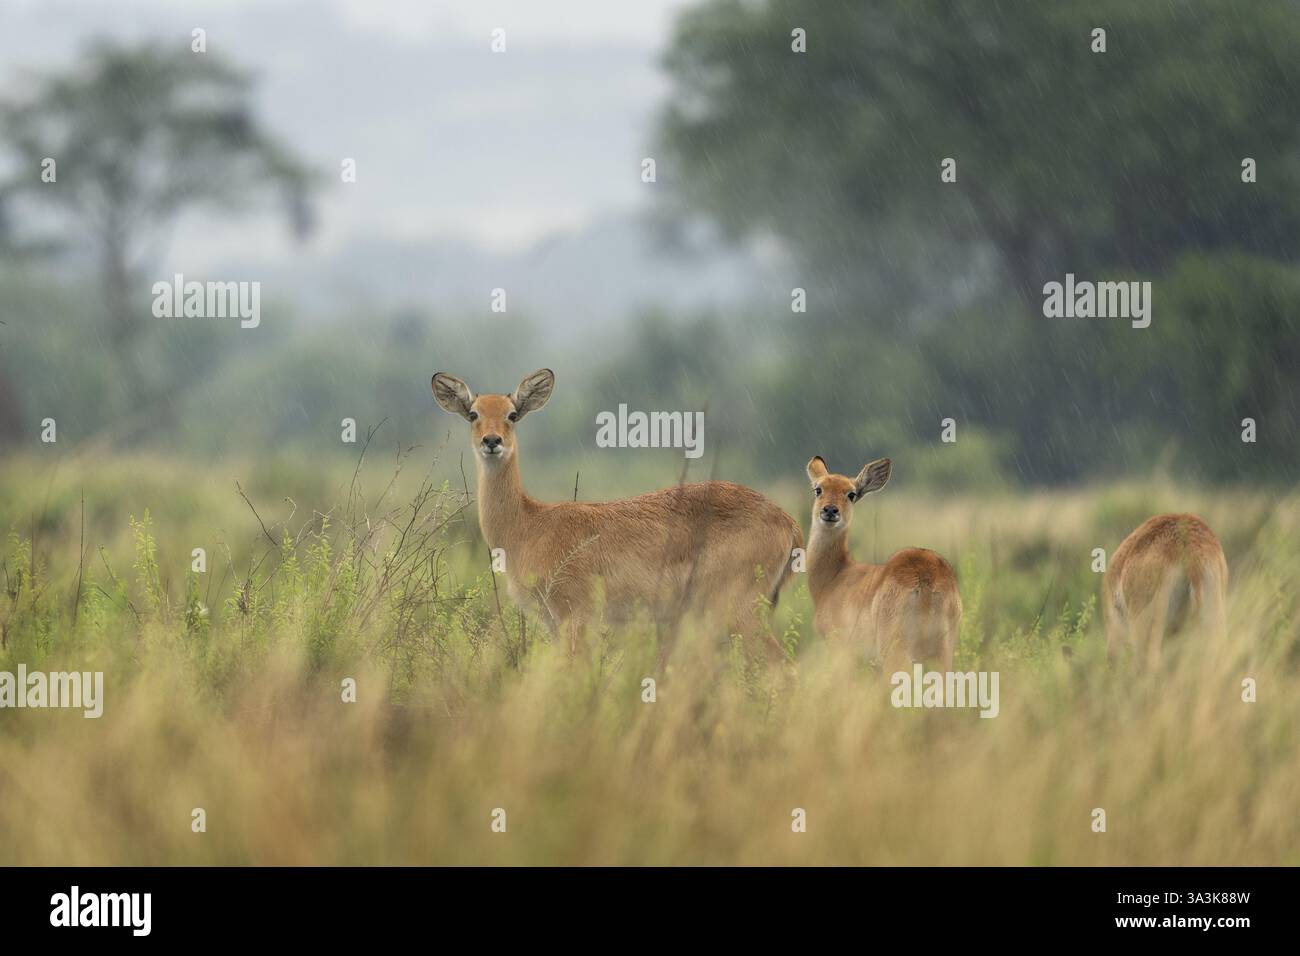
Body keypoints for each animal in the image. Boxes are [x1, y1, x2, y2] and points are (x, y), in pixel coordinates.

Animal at [432, 369, 803, 654]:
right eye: (474, 413)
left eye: (512, 414)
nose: (492, 441)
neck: (528, 525)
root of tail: (787, 521)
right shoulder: (554, 623)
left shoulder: (575, 617)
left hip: (737, 612)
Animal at [804, 456, 961, 670]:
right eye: (818, 489)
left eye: (851, 494)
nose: (830, 510)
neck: (833, 577)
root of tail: (927, 580)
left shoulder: (839, 648)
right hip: (942, 654)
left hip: (895, 650)